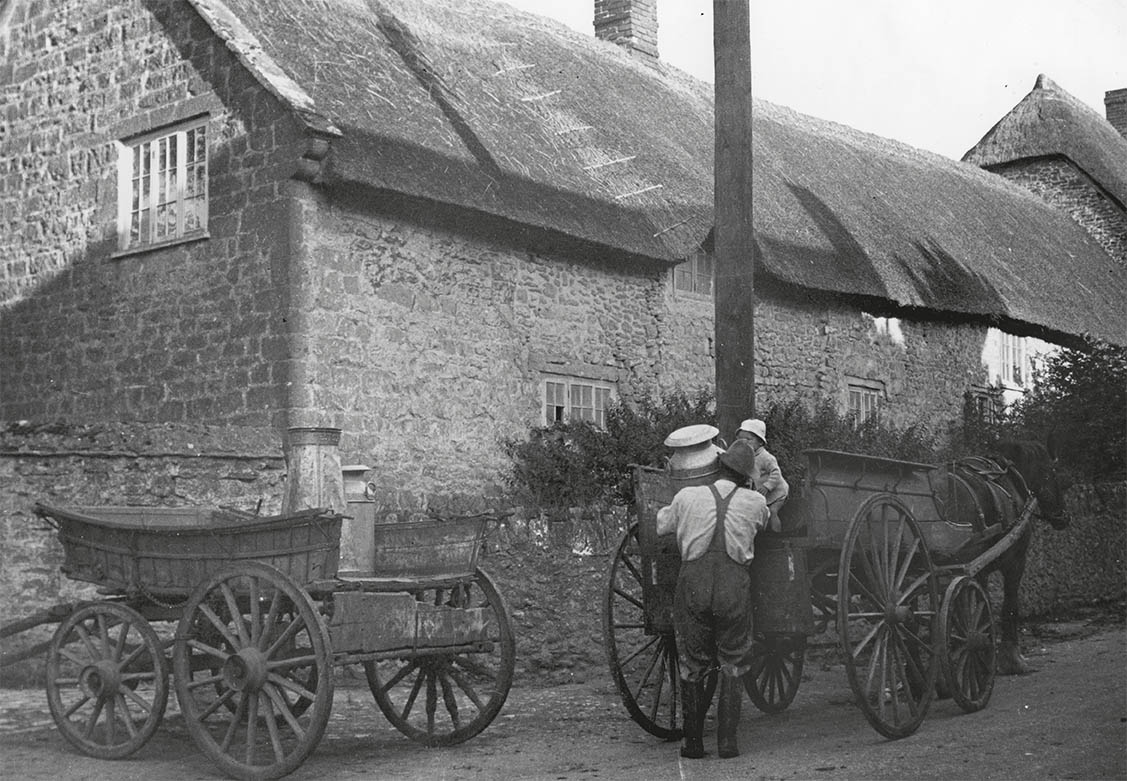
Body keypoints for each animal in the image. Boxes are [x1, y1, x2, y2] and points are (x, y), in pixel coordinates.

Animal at [946, 435, 1068, 671]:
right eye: (1054, 474)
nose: (1064, 517)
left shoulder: (979, 570)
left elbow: (980, 611)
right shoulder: (1015, 562)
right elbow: (1010, 606)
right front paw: (1012, 658)